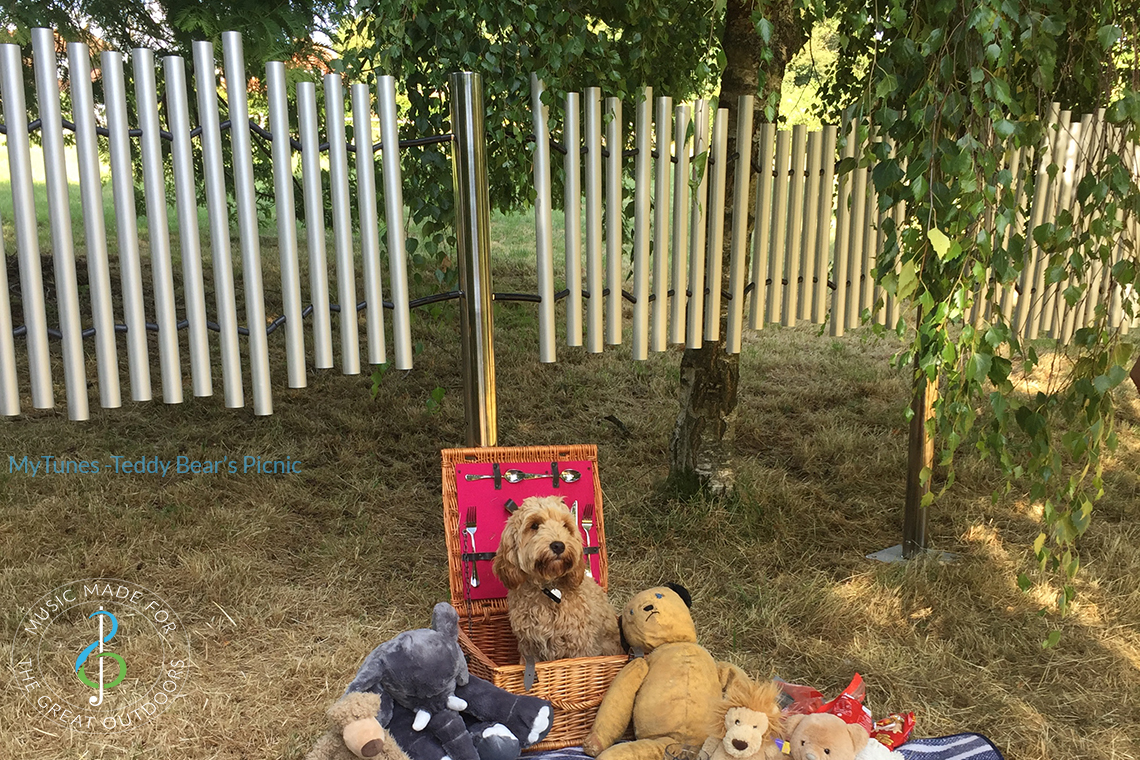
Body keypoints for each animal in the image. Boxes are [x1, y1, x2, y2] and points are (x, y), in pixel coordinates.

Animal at [492, 496, 624, 660]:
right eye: (534, 525)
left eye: (565, 525)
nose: (558, 545)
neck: (549, 586)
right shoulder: (529, 649)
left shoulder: (580, 646)